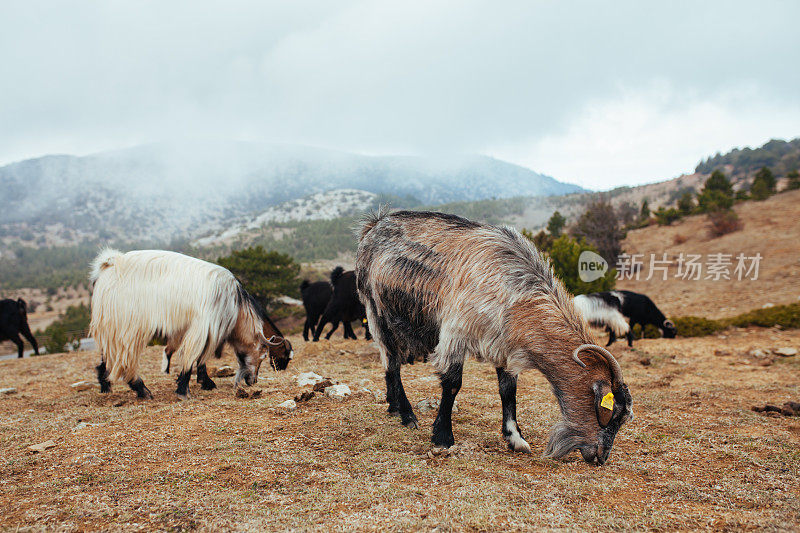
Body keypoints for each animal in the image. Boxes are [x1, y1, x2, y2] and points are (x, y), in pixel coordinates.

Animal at [90, 249, 290, 400]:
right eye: (263, 355)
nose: (253, 381)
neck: (235, 305)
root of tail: (110, 264)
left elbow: (198, 358)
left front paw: (202, 382)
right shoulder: (204, 326)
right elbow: (193, 356)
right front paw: (184, 389)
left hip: (113, 325)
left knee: (107, 355)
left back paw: (105, 384)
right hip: (130, 324)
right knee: (124, 358)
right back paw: (141, 389)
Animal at [356, 210, 632, 464]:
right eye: (610, 413)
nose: (600, 458)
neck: (515, 290)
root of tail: (373, 224)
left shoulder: (502, 344)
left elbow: (508, 390)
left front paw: (515, 438)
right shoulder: (456, 331)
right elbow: (453, 384)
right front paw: (443, 437)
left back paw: (393, 407)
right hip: (376, 311)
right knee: (392, 361)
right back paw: (407, 415)